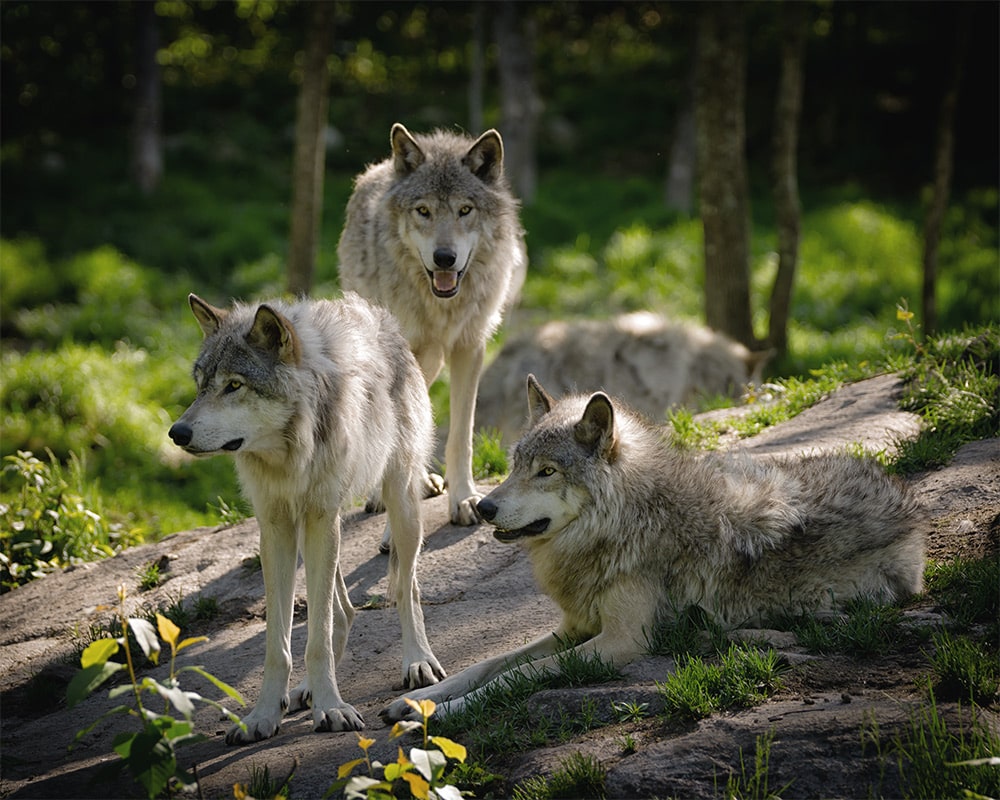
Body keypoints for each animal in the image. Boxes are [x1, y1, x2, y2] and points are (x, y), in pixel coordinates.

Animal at [170, 292, 444, 744]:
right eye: (201, 385)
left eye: (234, 385)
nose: (177, 433)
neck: (289, 453)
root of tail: (382, 318)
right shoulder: (277, 527)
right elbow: (279, 643)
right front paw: (264, 714)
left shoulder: (320, 518)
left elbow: (317, 639)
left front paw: (331, 709)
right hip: (313, 532)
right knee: (344, 613)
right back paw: (306, 690)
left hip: (398, 505)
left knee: (408, 589)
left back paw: (418, 661)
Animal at [338, 123, 528, 536]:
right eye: (423, 211)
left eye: (465, 210)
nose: (444, 258)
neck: (442, 306)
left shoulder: (470, 347)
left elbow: (460, 435)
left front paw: (464, 499)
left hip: (434, 360)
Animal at [380, 376, 920, 720]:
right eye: (515, 466)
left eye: (547, 471)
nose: (485, 507)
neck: (625, 521)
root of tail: (904, 497)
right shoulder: (573, 627)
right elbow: (486, 664)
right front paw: (419, 700)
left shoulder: (621, 641)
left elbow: (517, 676)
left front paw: (440, 714)